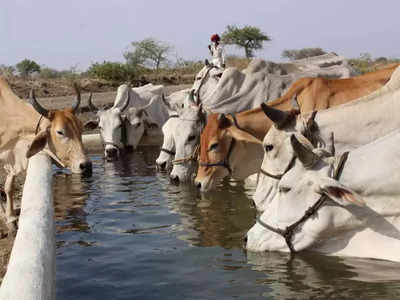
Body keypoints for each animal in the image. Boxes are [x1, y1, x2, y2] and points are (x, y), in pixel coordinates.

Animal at [0, 77, 91, 232]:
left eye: (81, 129)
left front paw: (11, 218)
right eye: (60, 132)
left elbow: (9, 187)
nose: (86, 165)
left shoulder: (12, 159)